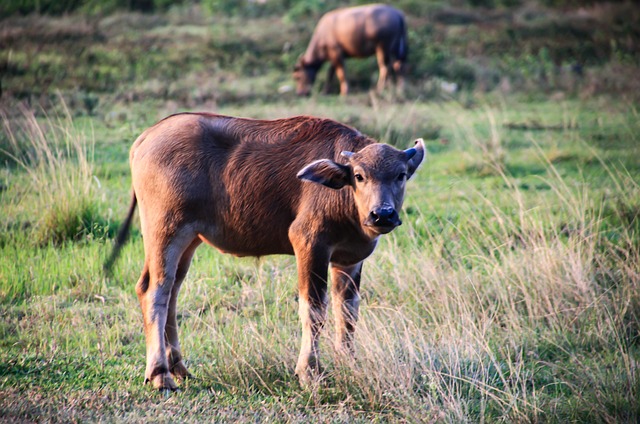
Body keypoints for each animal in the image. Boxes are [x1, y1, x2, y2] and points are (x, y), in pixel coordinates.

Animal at [107, 112, 422, 390]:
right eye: (359, 175)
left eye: (401, 175)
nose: (382, 214)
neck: (344, 198)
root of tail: (146, 138)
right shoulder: (310, 244)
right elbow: (314, 309)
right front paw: (309, 372)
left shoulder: (349, 260)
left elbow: (347, 312)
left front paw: (349, 362)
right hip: (165, 231)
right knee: (154, 290)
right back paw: (160, 374)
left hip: (188, 240)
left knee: (171, 292)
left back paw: (178, 367)